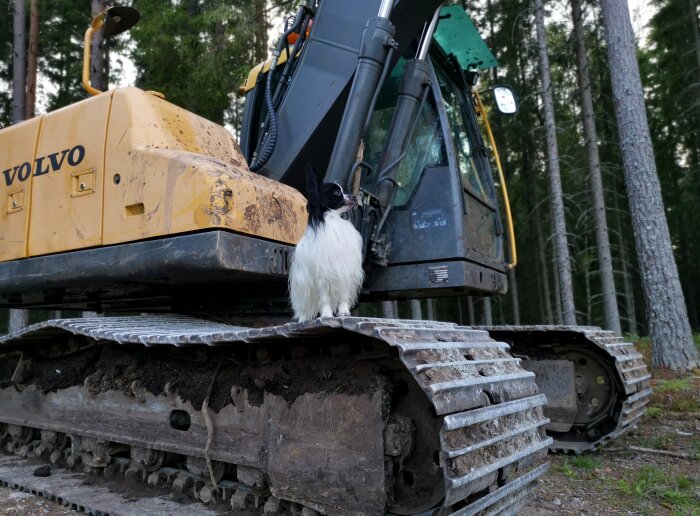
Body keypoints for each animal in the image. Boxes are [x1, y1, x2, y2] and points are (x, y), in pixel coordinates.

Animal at [290, 164, 366, 322]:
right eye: (337, 192)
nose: (354, 196)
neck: (333, 219)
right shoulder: (322, 274)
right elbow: (324, 298)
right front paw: (326, 315)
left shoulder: (345, 269)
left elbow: (343, 295)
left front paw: (343, 312)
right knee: (304, 307)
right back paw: (303, 320)